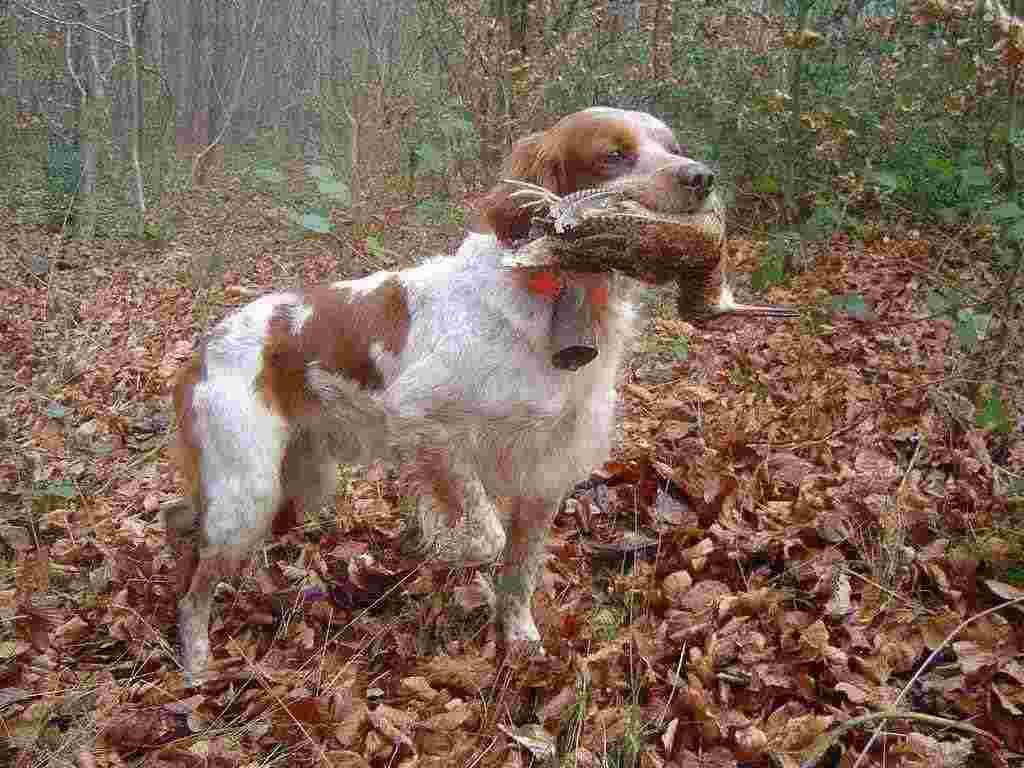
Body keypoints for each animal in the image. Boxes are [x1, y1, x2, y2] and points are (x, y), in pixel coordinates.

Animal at [167, 107, 716, 684]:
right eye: (614, 156)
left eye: (673, 146)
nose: (703, 177)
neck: (556, 304)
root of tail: (205, 345)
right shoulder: (424, 422)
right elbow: (485, 534)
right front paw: (446, 556)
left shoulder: (546, 475)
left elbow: (519, 573)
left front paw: (520, 642)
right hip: (249, 490)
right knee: (193, 588)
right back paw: (197, 662)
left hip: (299, 483)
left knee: (182, 525)